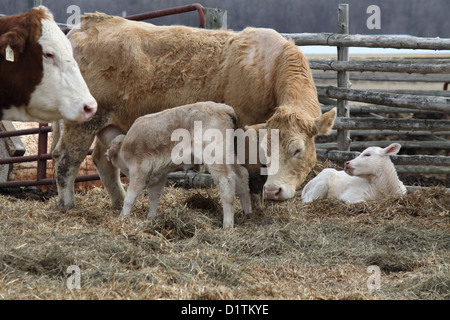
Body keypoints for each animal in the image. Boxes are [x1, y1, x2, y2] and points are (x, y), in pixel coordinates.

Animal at [51, 13, 334, 210]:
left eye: (297, 149)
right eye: (267, 149)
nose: (274, 191)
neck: (270, 68)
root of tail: (83, 26)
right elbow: (253, 175)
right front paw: (255, 208)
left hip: (110, 124)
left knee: (102, 160)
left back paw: (120, 201)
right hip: (83, 123)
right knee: (66, 159)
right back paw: (68, 205)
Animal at [97, 101, 251, 229]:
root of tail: (225, 109)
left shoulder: (139, 170)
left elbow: (130, 197)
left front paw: (122, 217)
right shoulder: (158, 175)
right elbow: (154, 196)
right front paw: (151, 218)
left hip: (215, 155)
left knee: (226, 181)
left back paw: (228, 224)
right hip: (229, 155)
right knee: (242, 175)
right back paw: (247, 213)